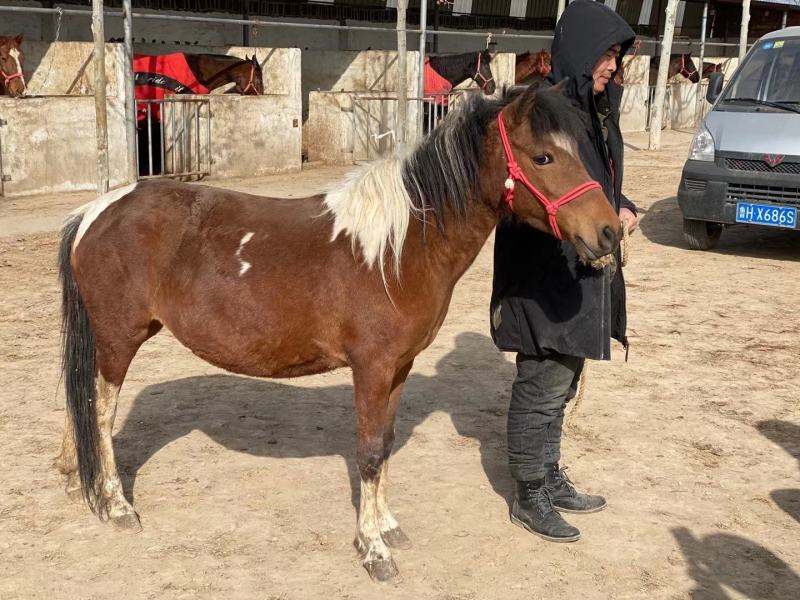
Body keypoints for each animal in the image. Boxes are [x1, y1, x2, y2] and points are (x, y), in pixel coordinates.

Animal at [56, 84, 620, 583]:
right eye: (544, 157)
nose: (610, 231)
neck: (399, 247)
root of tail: (96, 211)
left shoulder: (398, 368)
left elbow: (385, 446)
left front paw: (388, 528)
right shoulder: (370, 369)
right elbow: (368, 453)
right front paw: (373, 552)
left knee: (79, 401)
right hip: (119, 340)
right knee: (100, 413)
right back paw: (117, 506)